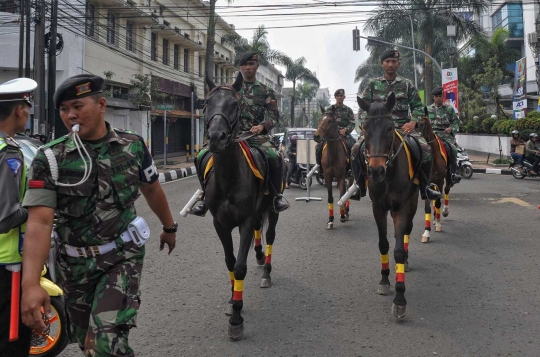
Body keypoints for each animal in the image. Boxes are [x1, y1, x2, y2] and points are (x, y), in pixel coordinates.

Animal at [201, 72, 278, 340]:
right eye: (206, 103)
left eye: (235, 104)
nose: (216, 138)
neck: (228, 178)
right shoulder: (219, 224)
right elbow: (229, 262)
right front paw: (231, 301)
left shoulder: (244, 221)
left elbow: (240, 266)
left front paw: (236, 317)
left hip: (272, 209)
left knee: (270, 235)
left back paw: (266, 272)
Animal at [358, 92, 422, 318]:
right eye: (364, 128)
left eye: (389, 127)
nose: (376, 171)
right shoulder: (378, 207)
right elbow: (384, 244)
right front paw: (385, 280)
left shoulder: (402, 207)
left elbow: (399, 250)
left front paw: (400, 298)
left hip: (413, 200)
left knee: (406, 231)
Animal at [418, 111, 452, 242]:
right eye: (416, 124)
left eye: (422, 124)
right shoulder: (427, 183)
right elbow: (428, 206)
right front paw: (426, 232)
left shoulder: (440, 181)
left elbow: (438, 202)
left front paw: (438, 223)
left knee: (446, 189)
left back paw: (444, 212)